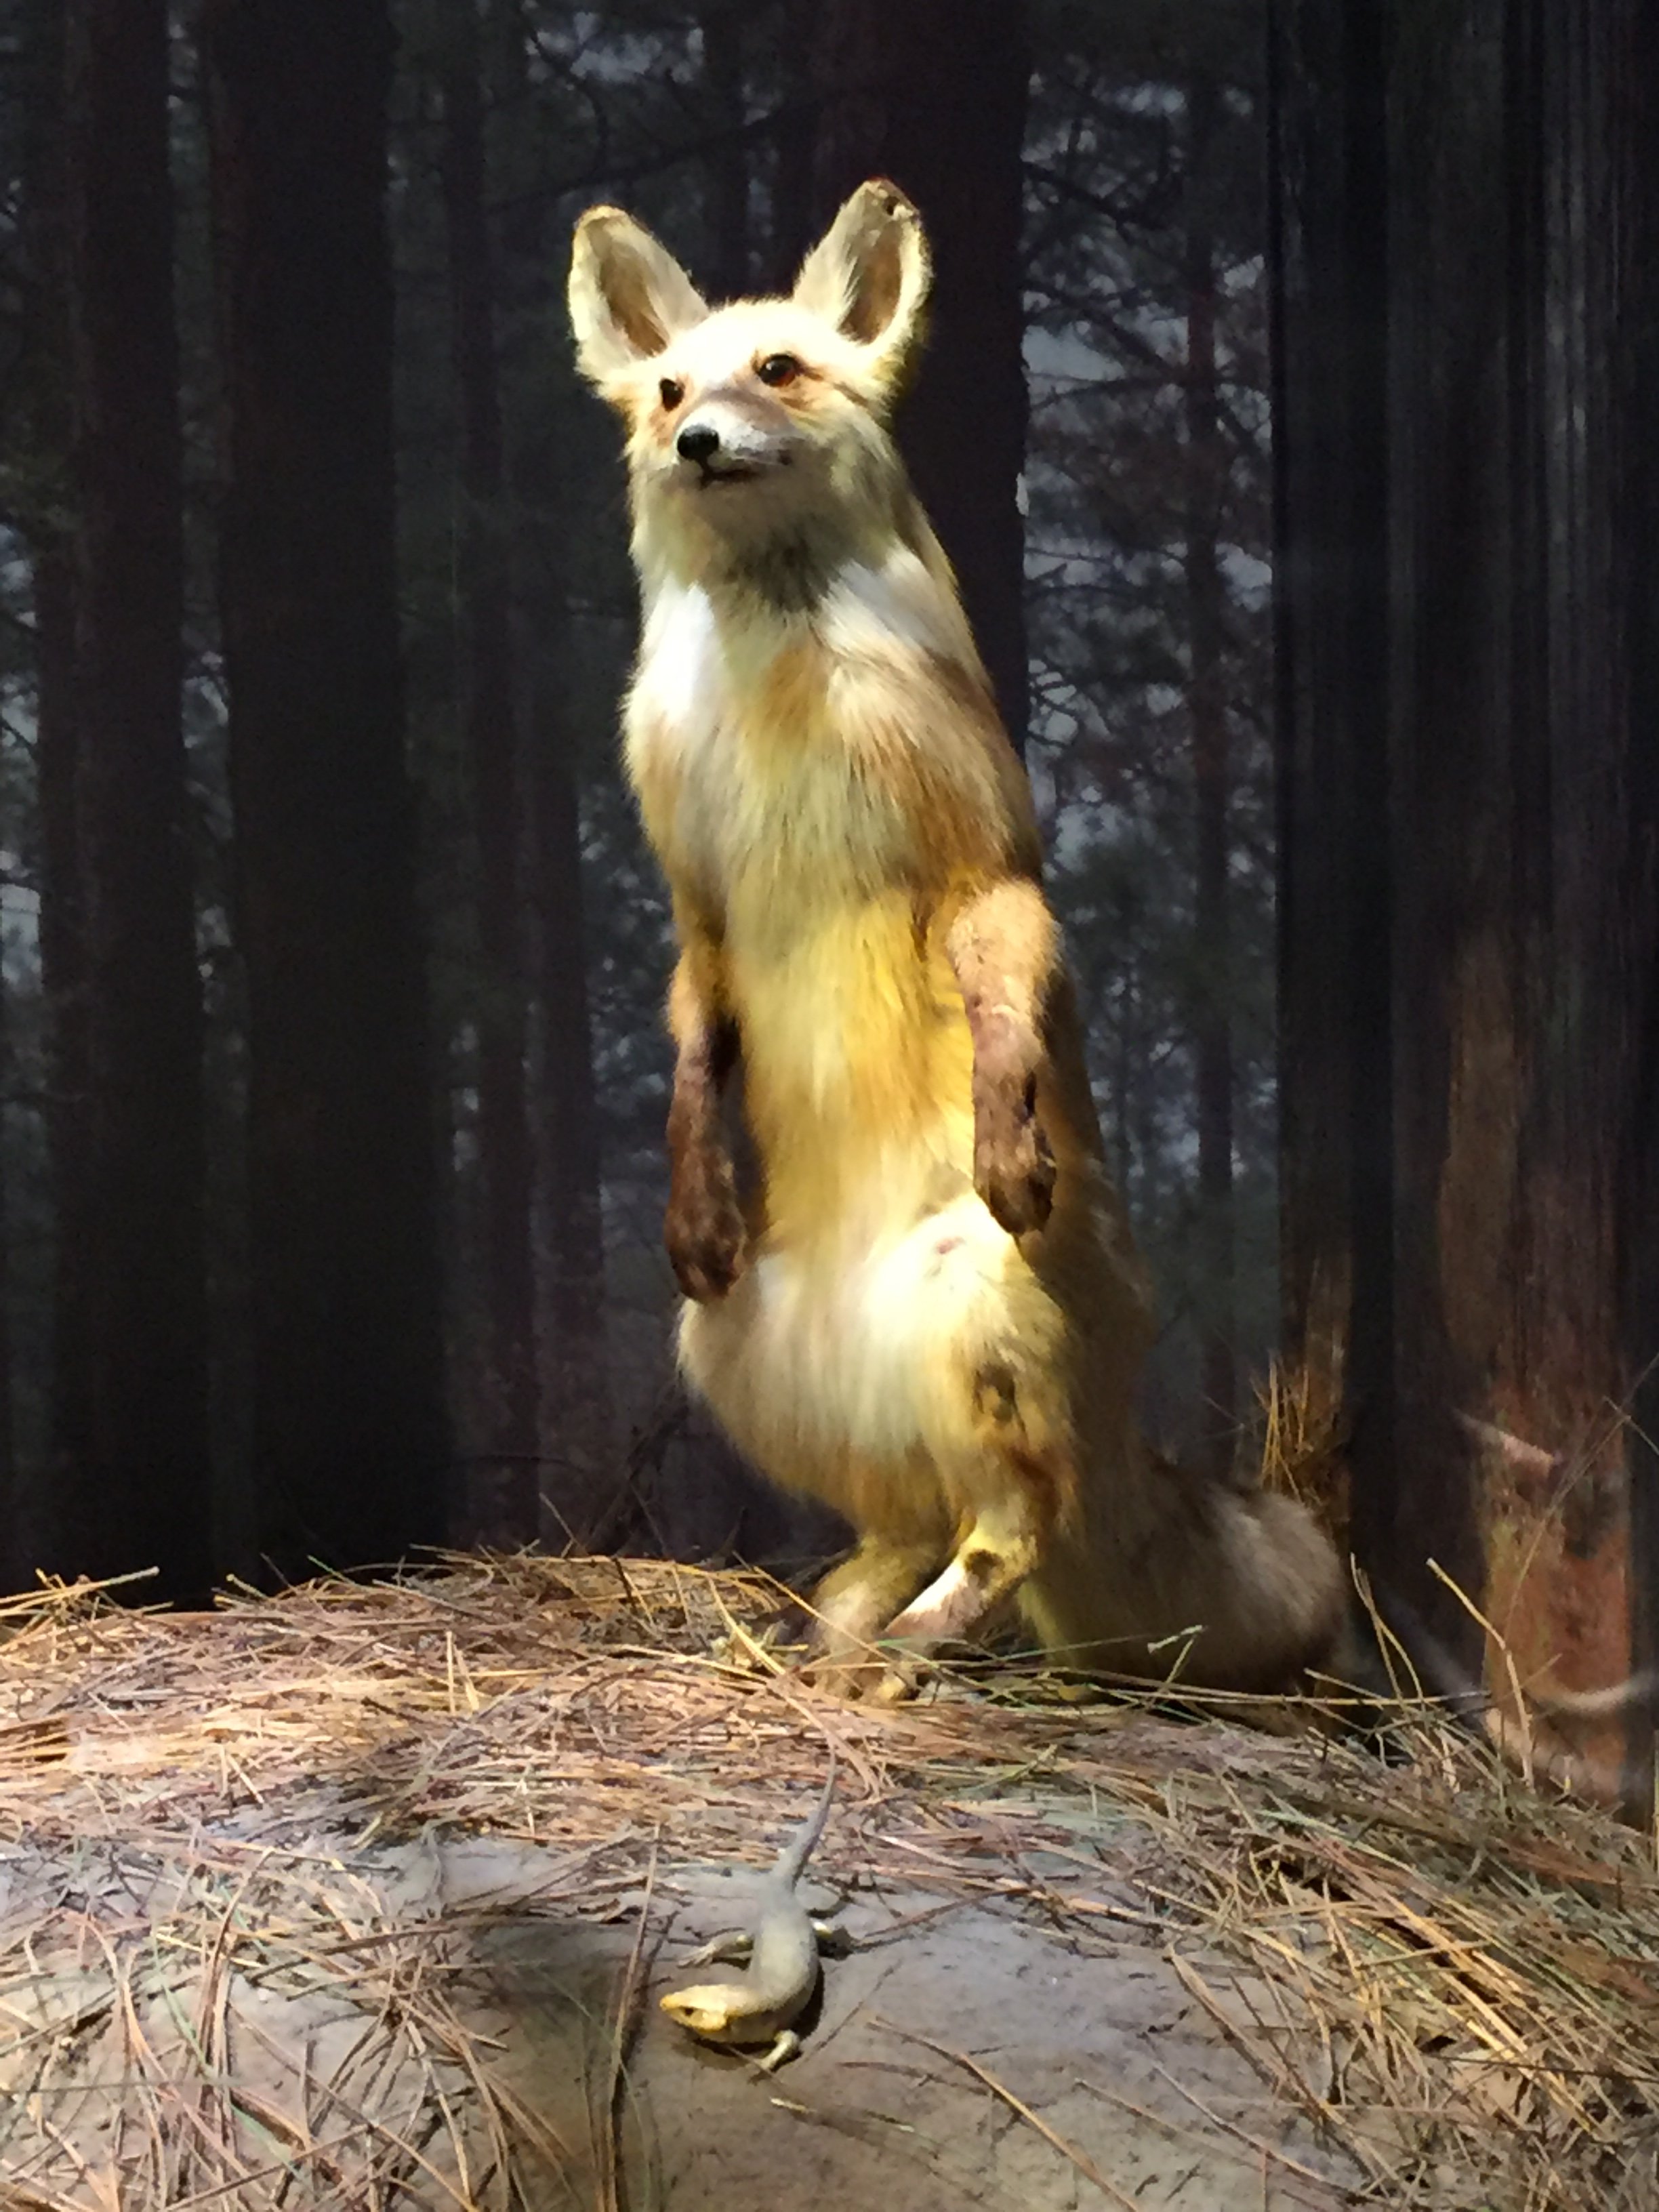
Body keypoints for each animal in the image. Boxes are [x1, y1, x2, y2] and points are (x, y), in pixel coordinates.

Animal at [568, 179, 1346, 1702]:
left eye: (780, 369)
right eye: (671, 388)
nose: (693, 442)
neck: (777, 699)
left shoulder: (993, 857)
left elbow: (1005, 993)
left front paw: (1009, 1137)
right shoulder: (694, 907)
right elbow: (689, 1048)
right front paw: (693, 1188)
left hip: (978, 1314)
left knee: (1014, 1531)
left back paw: (910, 1648)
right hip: (729, 1339)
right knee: (910, 1526)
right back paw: (829, 1630)